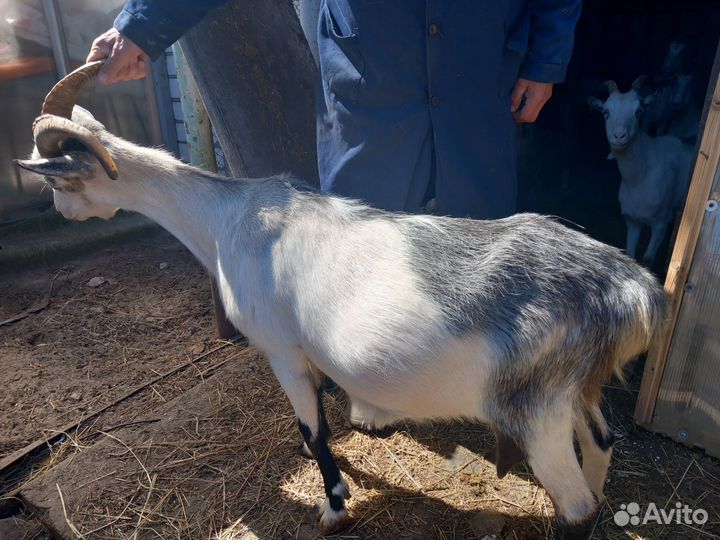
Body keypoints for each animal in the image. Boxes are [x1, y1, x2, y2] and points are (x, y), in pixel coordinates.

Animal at [16, 63, 666, 540]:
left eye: (55, 177)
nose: (59, 210)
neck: (225, 218)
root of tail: (631, 289)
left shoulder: (280, 347)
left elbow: (313, 431)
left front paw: (333, 507)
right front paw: (369, 418)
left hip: (536, 407)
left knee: (576, 507)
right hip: (579, 387)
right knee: (601, 444)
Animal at [589, 78, 693, 267]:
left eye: (638, 112)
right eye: (606, 112)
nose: (619, 136)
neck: (639, 179)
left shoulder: (660, 223)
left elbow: (647, 260)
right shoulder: (632, 221)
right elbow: (630, 254)